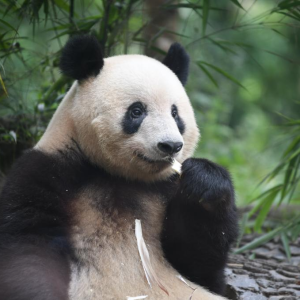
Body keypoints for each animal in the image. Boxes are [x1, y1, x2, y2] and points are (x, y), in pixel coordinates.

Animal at [0, 34, 239, 298]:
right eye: (137, 111)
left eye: (175, 114)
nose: (170, 145)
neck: (121, 176)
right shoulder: (47, 172)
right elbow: (29, 247)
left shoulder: (165, 188)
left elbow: (197, 260)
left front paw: (203, 183)